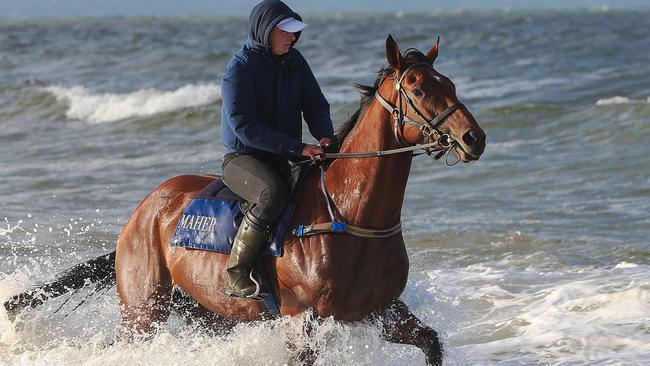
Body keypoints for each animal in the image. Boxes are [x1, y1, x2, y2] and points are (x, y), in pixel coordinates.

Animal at [3, 35, 480, 366]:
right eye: (417, 89)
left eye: (450, 83)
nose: (474, 138)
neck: (349, 214)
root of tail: (140, 214)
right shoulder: (300, 320)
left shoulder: (382, 311)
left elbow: (432, 342)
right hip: (143, 309)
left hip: (208, 311)